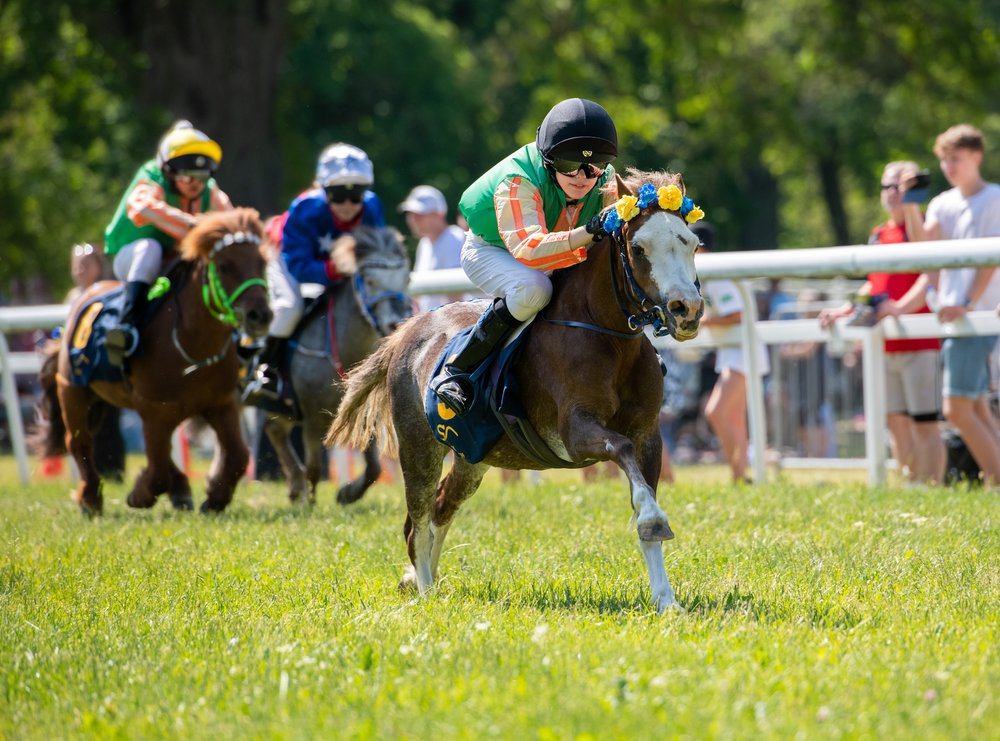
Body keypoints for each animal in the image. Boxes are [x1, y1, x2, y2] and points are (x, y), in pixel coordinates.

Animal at [36, 210, 272, 516]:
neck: (191, 343)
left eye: (262, 263)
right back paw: (90, 499)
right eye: (224, 266)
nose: (260, 315)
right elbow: (158, 470)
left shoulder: (220, 403)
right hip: (72, 389)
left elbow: (237, 456)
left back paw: (180, 488)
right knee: (79, 441)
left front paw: (214, 498)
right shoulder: (155, 409)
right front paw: (139, 495)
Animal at [328, 171, 704, 608]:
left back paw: (426, 581)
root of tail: (406, 331)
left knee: (441, 508)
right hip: (418, 446)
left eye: (692, 243)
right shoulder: (575, 433)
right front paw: (654, 523)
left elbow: (644, 489)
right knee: (417, 520)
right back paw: (424, 591)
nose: (687, 310)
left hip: (473, 458)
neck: (609, 338)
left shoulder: (648, 435)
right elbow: (622, 453)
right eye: (639, 248)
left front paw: (666, 599)